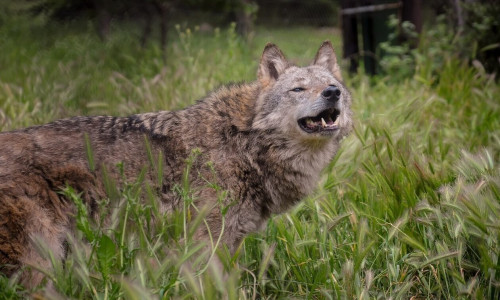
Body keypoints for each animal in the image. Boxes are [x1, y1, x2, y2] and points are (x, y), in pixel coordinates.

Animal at [0, 41, 352, 288]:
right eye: (298, 88)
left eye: (333, 85)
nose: (332, 92)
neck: (245, 142)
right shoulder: (205, 242)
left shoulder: (229, 241)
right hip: (38, 262)